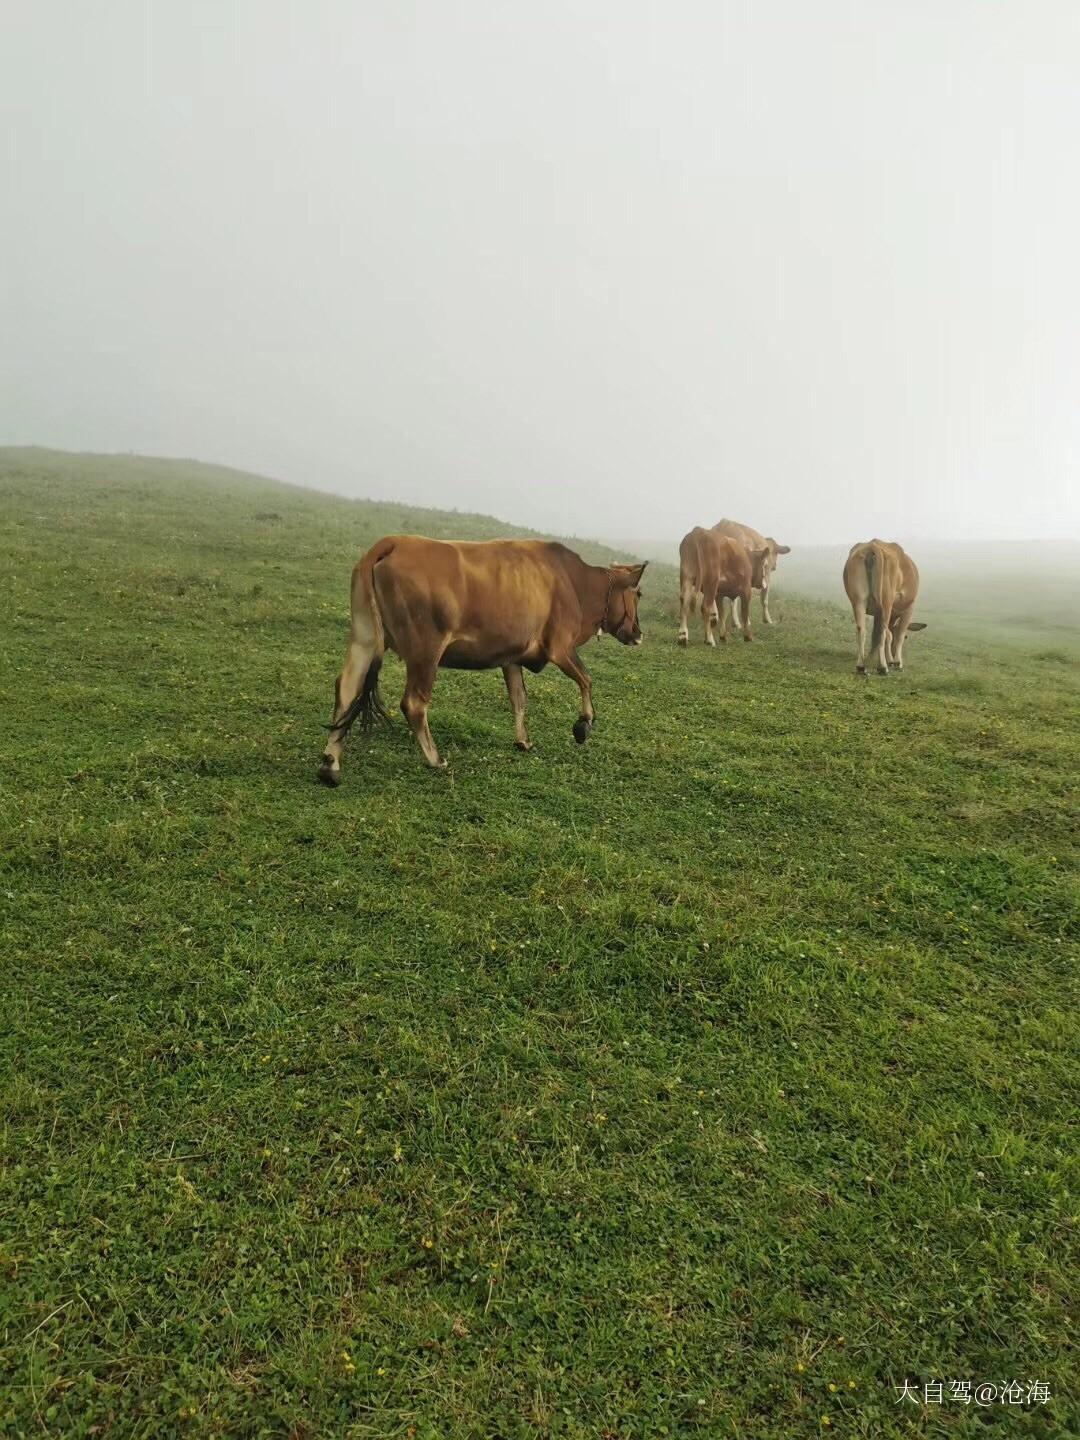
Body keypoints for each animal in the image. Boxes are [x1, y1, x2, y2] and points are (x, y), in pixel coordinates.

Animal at [316, 532, 648, 777]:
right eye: (639, 594)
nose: (639, 633)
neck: (576, 582)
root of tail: (393, 542)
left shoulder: (512, 657)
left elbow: (519, 699)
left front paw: (523, 740)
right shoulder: (560, 647)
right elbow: (586, 680)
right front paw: (583, 724)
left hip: (365, 637)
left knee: (346, 688)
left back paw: (331, 764)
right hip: (426, 651)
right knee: (414, 703)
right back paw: (434, 759)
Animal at [846, 541, 933, 673]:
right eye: (907, 637)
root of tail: (873, 545)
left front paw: (873, 657)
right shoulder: (909, 608)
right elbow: (898, 635)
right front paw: (896, 662)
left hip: (859, 601)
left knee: (862, 629)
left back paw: (861, 666)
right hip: (886, 602)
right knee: (882, 632)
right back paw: (883, 667)